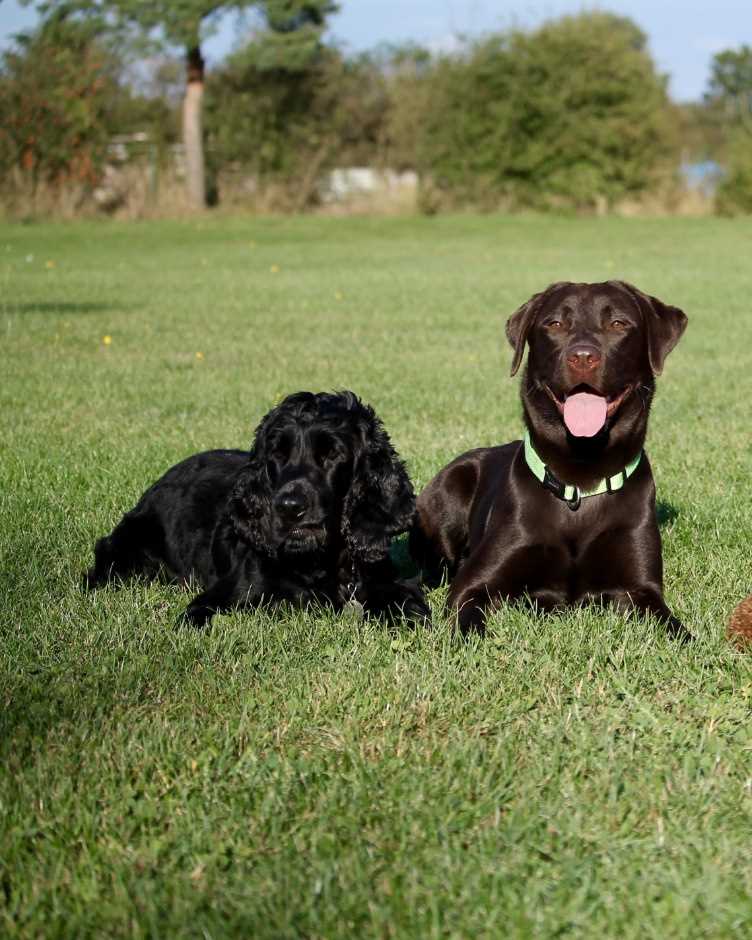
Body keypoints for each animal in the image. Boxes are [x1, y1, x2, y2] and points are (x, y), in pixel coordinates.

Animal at [86, 390, 428, 624]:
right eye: (277, 453)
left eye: (332, 453)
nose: (289, 507)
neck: (318, 561)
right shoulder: (219, 598)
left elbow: (409, 605)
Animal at [414, 280, 692, 640]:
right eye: (555, 324)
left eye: (618, 323)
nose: (583, 357)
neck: (581, 478)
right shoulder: (472, 584)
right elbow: (469, 625)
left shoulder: (642, 590)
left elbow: (677, 632)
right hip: (449, 489)